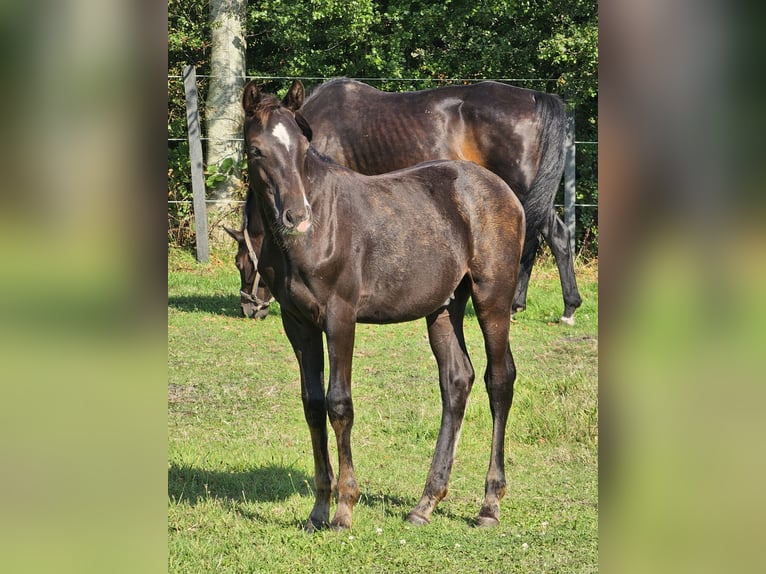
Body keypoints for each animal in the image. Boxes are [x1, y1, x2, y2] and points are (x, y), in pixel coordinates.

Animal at [231, 83, 524, 532]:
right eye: (256, 150)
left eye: (303, 146)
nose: (297, 216)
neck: (317, 232)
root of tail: (504, 192)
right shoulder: (298, 323)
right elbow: (312, 405)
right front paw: (318, 509)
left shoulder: (340, 317)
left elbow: (339, 403)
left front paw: (344, 509)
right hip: (443, 308)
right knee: (457, 380)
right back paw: (426, 503)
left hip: (492, 298)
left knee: (499, 380)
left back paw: (489, 505)